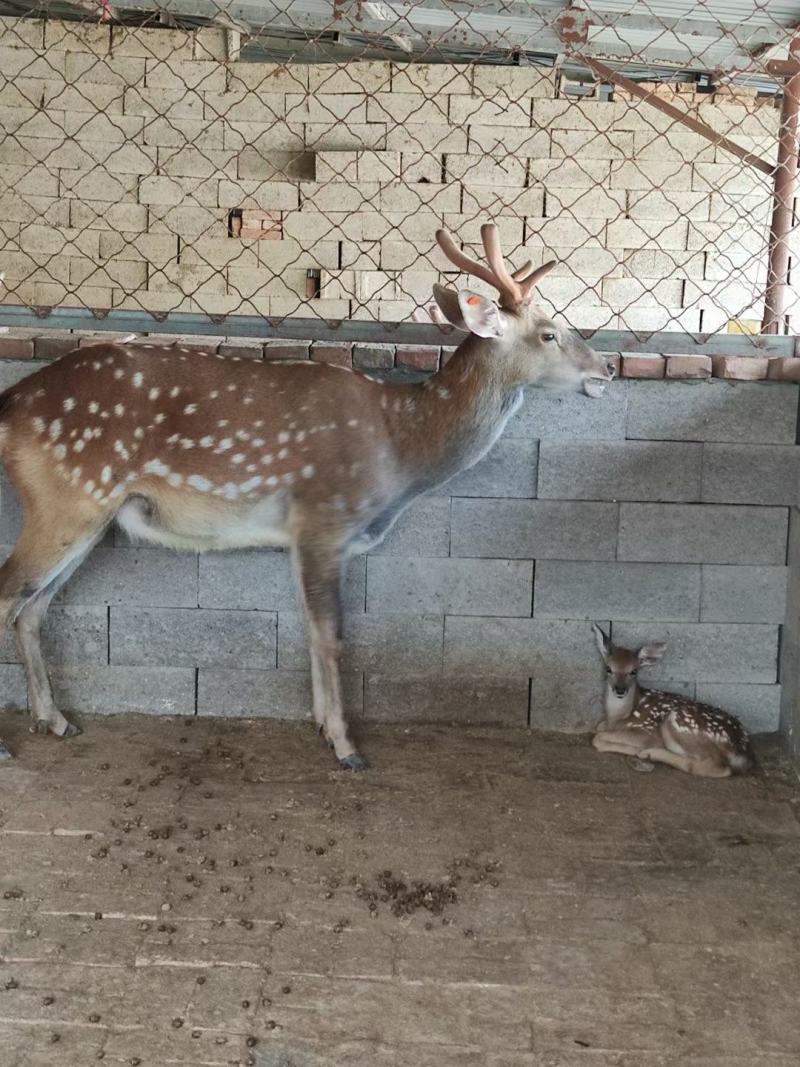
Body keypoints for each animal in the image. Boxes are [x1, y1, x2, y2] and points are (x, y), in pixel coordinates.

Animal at [0, 221, 614, 769]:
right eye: (550, 332)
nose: (607, 369)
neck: (401, 446)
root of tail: (11, 403)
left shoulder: (304, 535)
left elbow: (312, 629)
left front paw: (322, 725)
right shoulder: (324, 518)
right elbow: (331, 633)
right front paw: (345, 745)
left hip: (92, 515)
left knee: (33, 610)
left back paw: (55, 720)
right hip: (67, 497)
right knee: (11, 594)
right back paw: (11, 743)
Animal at [591, 624, 754, 778]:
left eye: (634, 671)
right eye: (608, 668)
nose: (620, 690)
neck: (619, 717)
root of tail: (743, 750)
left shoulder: (647, 731)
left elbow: (598, 738)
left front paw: (636, 749)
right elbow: (598, 728)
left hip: (677, 723)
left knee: (716, 767)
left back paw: (649, 753)